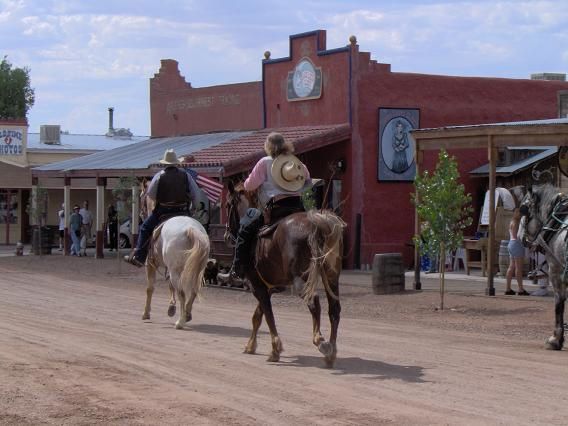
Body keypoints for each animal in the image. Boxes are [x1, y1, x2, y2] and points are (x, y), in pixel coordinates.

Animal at [225, 181, 346, 366]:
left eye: (227, 205)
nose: (226, 234)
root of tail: (317, 224)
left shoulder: (257, 287)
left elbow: (268, 316)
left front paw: (275, 350)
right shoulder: (269, 288)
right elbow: (258, 316)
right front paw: (251, 345)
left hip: (301, 280)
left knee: (314, 302)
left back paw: (320, 341)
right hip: (332, 278)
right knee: (334, 309)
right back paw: (331, 354)